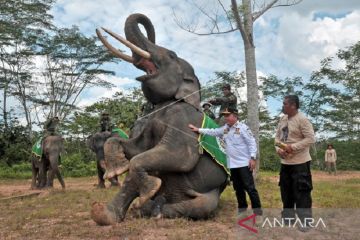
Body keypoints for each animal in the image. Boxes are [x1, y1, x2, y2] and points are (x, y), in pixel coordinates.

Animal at [91, 13, 228, 225]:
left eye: (171, 55)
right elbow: (136, 149)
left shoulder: (183, 118)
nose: (99, 28)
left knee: (201, 206)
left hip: (210, 195)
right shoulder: (148, 123)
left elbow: (179, 156)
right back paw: (108, 214)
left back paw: (156, 210)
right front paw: (117, 168)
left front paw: (148, 186)